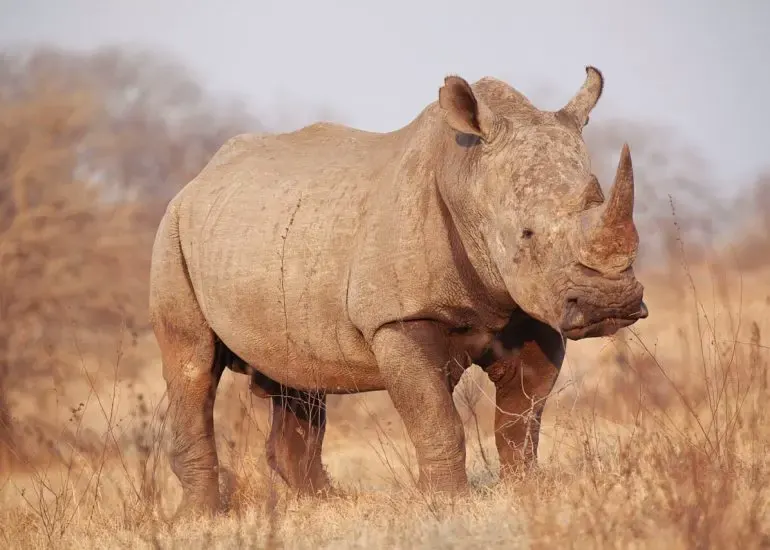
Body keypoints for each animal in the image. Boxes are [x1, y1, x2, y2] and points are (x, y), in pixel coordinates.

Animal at [149, 66, 648, 516]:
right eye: (526, 235)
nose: (610, 305)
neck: (466, 176)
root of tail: (197, 181)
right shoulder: (398, 318)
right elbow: (438, 420)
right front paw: (449, 504)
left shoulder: (534, 314)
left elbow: (521, 418)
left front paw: (528, 491)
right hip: (172, 234)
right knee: (192, 364)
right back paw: (201, 518)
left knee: (297, 380)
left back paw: (330, 507)